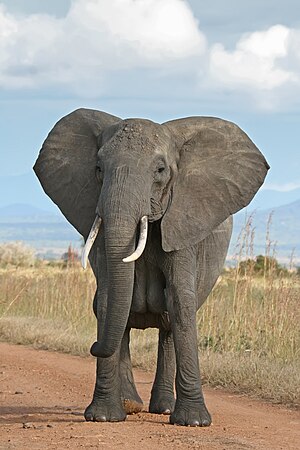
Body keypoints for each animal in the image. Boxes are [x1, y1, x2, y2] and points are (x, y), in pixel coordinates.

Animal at [34, 108, 268, 426]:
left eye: (160, 170)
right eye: (98, 168)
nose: (92, 347)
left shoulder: (184, 222)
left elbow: (180, 300)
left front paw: (194, 422)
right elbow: (107, 300)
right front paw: (104, 417)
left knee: (169, 322)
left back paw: (164, 409)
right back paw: (130, 404)